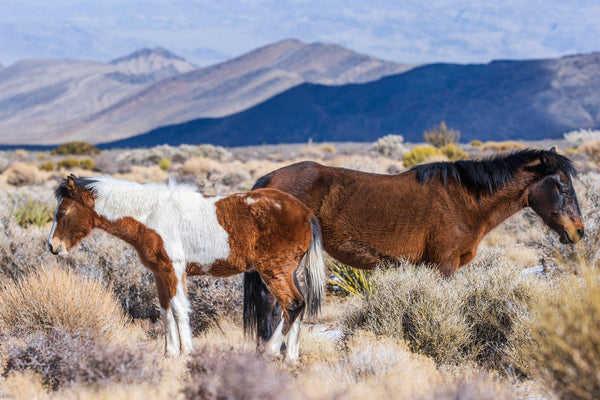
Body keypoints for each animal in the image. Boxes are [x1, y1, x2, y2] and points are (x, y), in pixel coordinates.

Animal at [48, 175, 326, 360]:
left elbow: (180, 309)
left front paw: (188, 352)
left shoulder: (174, 269)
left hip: (274, 272)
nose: (52, 246)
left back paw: (269, 351)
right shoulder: (160, 273)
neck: (150, 214)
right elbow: (165, 311)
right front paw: (170, 353)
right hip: (287, 272)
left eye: (63, 212)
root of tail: (306, 213)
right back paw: (290, 357)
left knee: (293, 304)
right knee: (299, 304)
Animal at [243, 148, 580, 342]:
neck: (465, 199)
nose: (578, 231)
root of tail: (270, 181)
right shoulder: (444, 265)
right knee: (278, 304)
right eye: (563, 187)